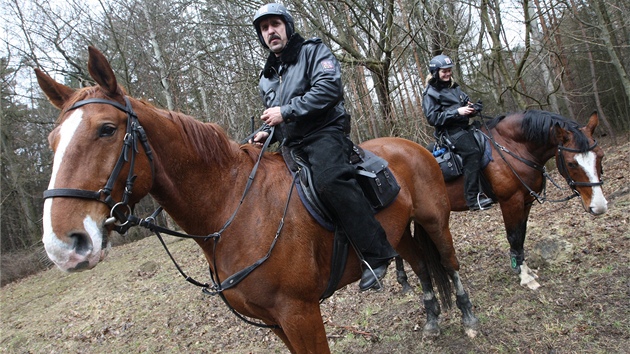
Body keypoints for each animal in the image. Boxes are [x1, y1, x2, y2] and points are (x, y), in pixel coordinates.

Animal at [35, 45, 478, 352]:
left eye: (107, 129)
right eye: (52, 141)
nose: (63, 245)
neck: (234, 206)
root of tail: (412, 145)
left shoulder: (300, 313)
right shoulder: (275, 322)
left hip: (435, 222)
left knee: (448, 263)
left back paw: (468, 316)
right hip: (399, 234)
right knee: (421, 266)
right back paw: (432, 320)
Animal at [398, 110, 608, 290]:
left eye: (600, 155)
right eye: (572, 163)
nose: (599, 207)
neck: (513, 147)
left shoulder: (526, 201)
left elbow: (521, 235)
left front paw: (525, 268)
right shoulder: (510, 201)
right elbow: (513, 236)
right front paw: (525, 276)